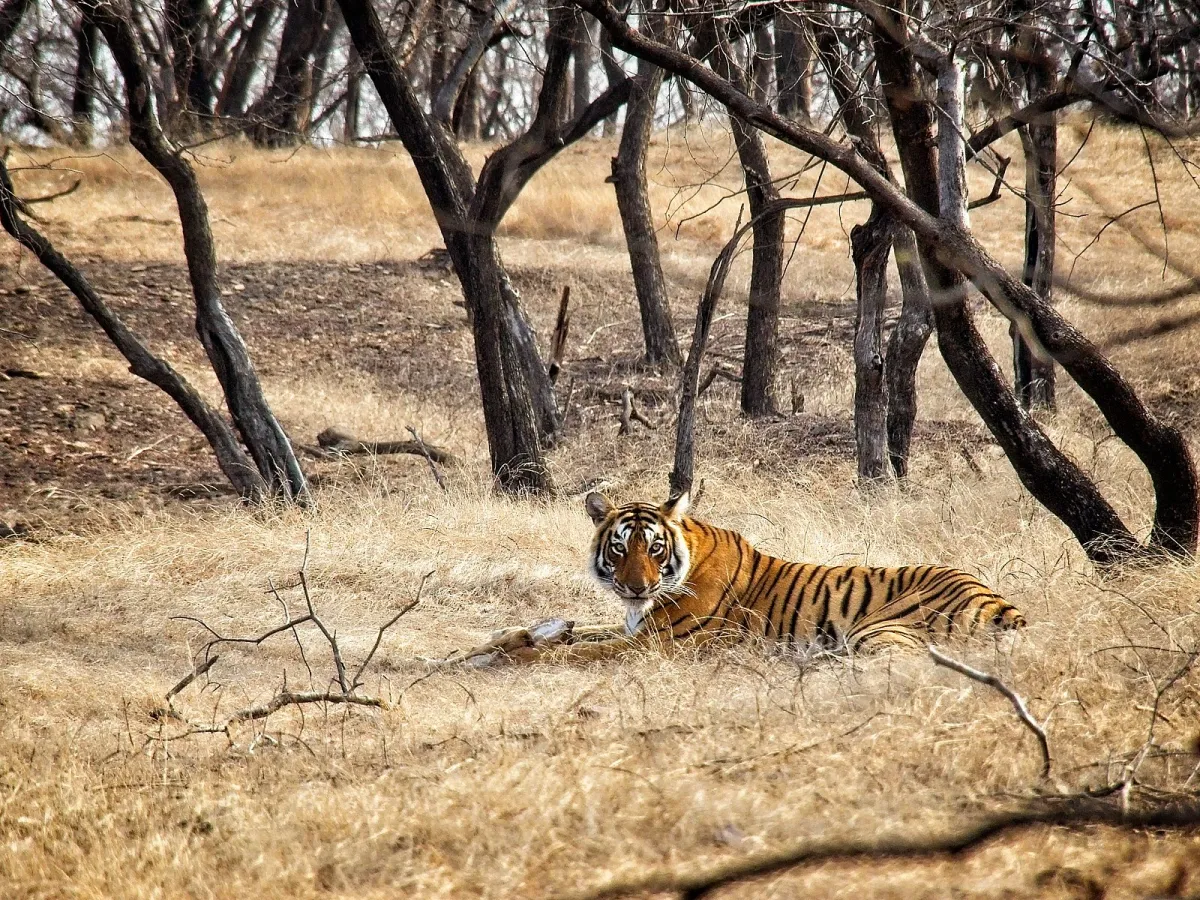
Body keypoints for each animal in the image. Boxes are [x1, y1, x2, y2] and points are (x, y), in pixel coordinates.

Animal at [529, 491, 1024, 663]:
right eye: (620, 547)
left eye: (654, 548)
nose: (636, 587)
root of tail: (998, 601)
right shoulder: (635, 628)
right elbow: (580, 633)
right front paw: (530, 634)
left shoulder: (661, 642)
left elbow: (573, 654)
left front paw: (524, 655)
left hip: (879, 628)